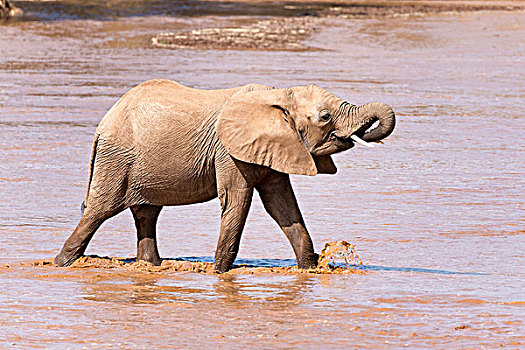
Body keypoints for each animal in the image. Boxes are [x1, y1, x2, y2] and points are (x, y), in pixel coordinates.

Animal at [55, 80, 396, 272]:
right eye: (325, 117)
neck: (279, 95)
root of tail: (103, 124)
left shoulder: (275, 146)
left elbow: (282, 206)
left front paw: (309, 269)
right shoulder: (228, 151)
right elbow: (237, 201)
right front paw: (219, 273)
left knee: (146, 213)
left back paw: (150, 266)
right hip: (117, 159)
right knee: (99, 211)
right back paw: (61, 264)